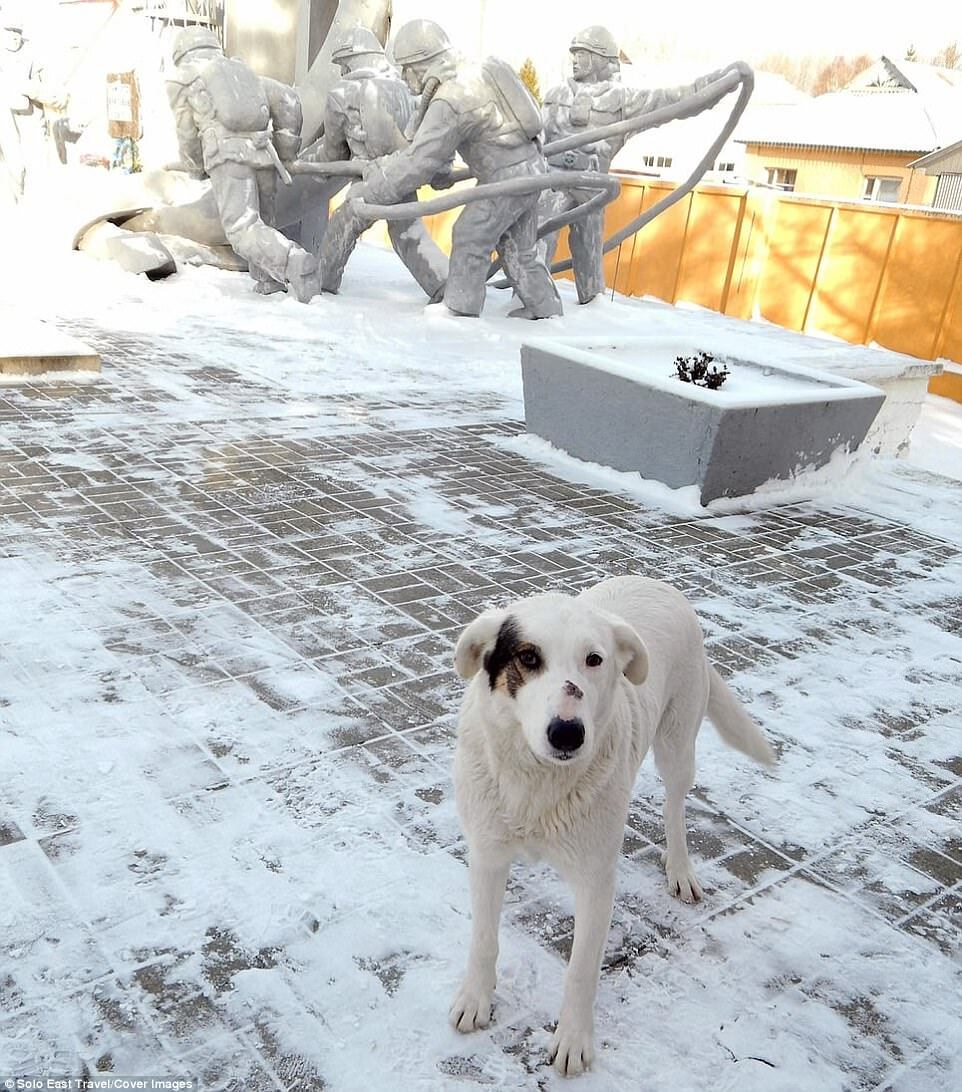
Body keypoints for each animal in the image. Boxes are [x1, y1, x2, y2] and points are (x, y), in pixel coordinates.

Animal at [447, 576, 773, 1078]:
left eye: (594, 660)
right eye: (528, 657)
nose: (567, 733)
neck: (537, 783)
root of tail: (656, 581)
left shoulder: (596, 880)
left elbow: (581, 970)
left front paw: (573, 1039)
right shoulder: (487, 856)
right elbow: (483, 940)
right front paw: (476, 999)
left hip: (677, 747)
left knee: (675, 807)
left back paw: (680, 869)